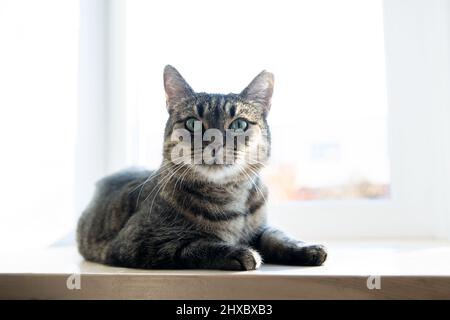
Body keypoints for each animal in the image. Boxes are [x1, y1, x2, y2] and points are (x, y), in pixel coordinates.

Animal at [78, 65, 326, 270]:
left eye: (239, 124)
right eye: (192, 123)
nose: (214, 142)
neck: (229, 195)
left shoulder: (261, 226)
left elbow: (275, 235)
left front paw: (307, 248)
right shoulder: (136, 242)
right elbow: (193, 244)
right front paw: (239, 252)